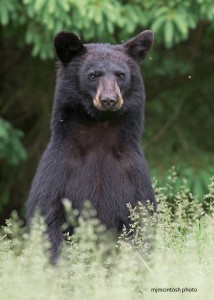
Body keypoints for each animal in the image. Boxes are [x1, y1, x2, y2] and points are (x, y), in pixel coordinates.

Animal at [26, 30, 155, 260]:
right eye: (93, 75)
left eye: (121, 75)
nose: (109, 100)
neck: (100, 134)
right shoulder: (58, 172)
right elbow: (48, 220)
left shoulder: (133, 176)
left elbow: (141, 221)